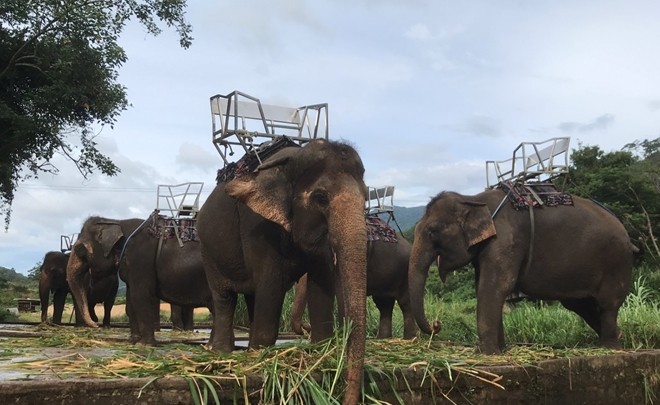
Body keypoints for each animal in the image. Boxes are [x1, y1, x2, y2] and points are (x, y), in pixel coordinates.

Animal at [66, 213, 214, 342]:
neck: (117, 221)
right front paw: (134, 339)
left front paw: (143, 344)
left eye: (79, 249)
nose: (96, 324)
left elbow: (140, 294)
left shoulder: (140, 258)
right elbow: (130, 300)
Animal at [410, 188, 636, 352]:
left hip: (616, 264)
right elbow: (485, 287)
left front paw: (486, 353)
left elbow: (495, 287)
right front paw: (501, 350)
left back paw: (611, 348)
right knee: (580, 305)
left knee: (607, 304)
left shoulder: (506, 240)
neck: (473, 199)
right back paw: (619, 336)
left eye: (432, 231)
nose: (436, 324)